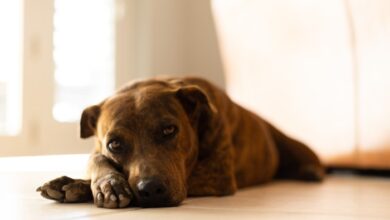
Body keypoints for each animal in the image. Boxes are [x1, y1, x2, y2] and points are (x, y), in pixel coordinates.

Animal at [37, 77, 322, 208]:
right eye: (115, 144)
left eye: (169, 130)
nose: (151, 189)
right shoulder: (97, 148)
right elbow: (96, 158)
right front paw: (93, 184)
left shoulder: (214, 176)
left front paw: (91, 186)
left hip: (293, 143)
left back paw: (311, 171)